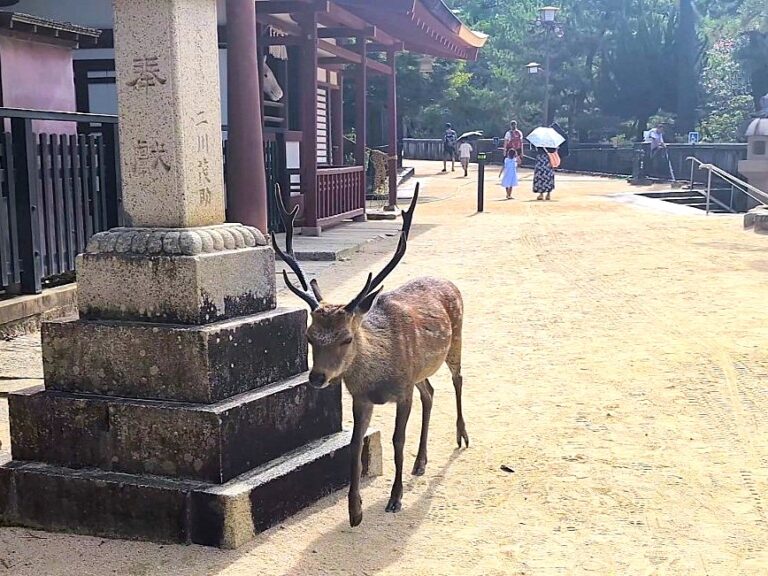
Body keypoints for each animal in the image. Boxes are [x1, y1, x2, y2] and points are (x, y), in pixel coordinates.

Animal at [270, 184, 468, 527]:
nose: (317, 377)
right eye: (309, 336)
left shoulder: (402, 391)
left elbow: (397, 440)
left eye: (347, 338)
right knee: (430, 392)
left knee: (458, 379)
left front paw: (395, 498)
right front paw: (354, 510)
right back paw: (420, 462)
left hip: (456, 340)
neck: (378, 380)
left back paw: (461, 436)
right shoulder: (360, 398)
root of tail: (449, 281)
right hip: (420, 371)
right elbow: (354, 443)